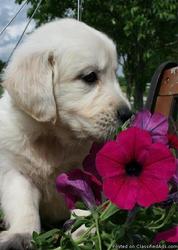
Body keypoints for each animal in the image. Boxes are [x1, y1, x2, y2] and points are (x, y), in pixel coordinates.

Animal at [0, 18, 131, 249]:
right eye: (90, 77)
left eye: (115, 74)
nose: (128, 113)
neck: (52, 136)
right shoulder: (16, 173)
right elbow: (24, 207)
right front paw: (19, 235)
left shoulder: (85, 170)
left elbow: (85, 201)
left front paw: (85, 231)